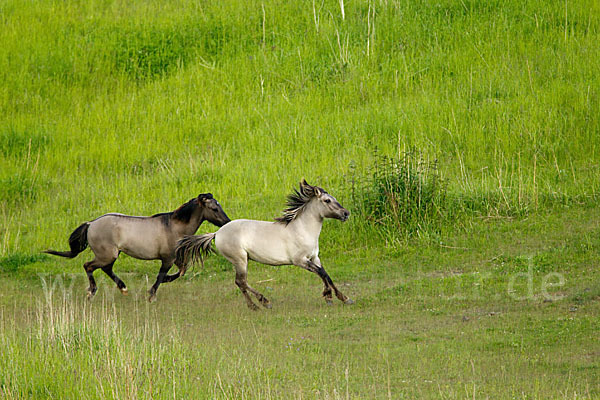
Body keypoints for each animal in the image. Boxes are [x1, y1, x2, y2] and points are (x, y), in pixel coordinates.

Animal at [44, 193, 231, 300]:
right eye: (214, 208)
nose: (227, 222)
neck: (175, 227)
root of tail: (91, 224)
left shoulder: (176, 258)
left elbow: (181, 271)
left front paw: (162, 284)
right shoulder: (168, 259)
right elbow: (162, 275)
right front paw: (151, 294)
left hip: (112, 254)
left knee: (106, 269)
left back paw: (123, 288)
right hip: (107, 254)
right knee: (88, 266)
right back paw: (92, 291)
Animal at [173, 180, 352, 310]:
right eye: (327, 200)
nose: (346, 213)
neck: (302, 229)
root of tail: (217, 233)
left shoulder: (314, 257)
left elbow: (326, 274)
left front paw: (341, 298)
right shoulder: (300, 260)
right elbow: (322, 273)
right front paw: (332, 296)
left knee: (241, 282)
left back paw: (254, 305)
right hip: (240, 260)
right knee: (241, 281)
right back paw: (263, 302)